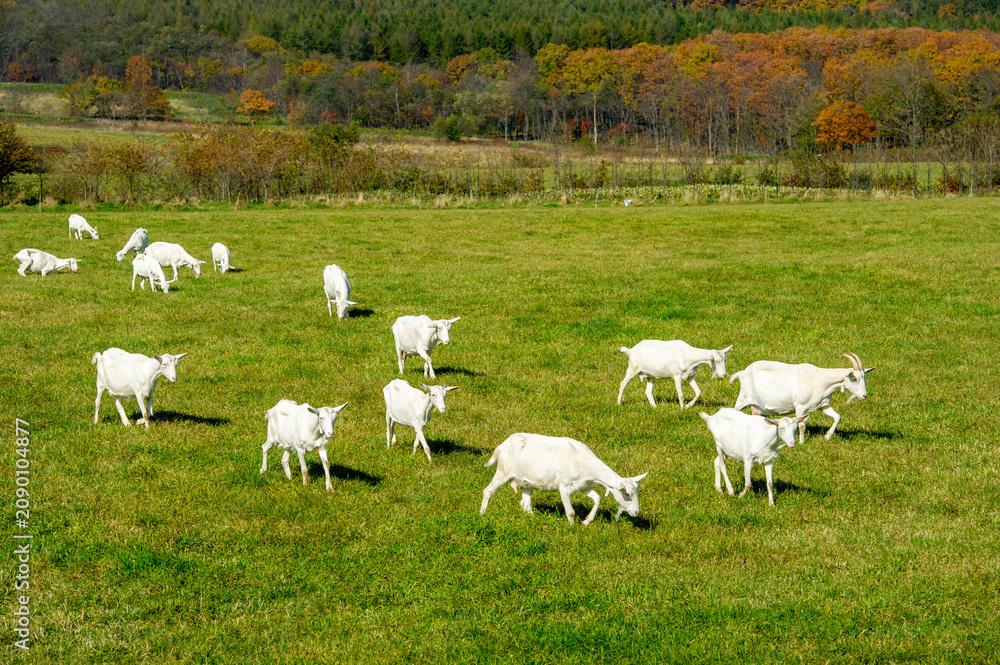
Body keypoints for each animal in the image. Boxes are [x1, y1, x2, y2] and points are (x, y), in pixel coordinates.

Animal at [480, 433, 648, 525]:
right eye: (627, 494)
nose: (636, 512)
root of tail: (502, 445)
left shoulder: (585, 486)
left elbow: (598, 499)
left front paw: (587, 521)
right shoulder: (564, 487)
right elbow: (571, 512)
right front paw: (572, 528)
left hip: (526, 482)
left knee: (526, 504)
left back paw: (532, 519)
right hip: (503, 471)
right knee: (488, 491)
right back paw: (482, 514)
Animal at [731, 352, 874, 445]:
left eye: (864, 377)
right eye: (854, 379)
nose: (864, 395)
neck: (818, 379)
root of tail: (743, 373)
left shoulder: (824, 405)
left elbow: (837, 417)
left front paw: (827, 436)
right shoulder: (799, 406)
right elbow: (801, 426)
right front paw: (801, 443)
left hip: (758, 407)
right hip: (743, 398)